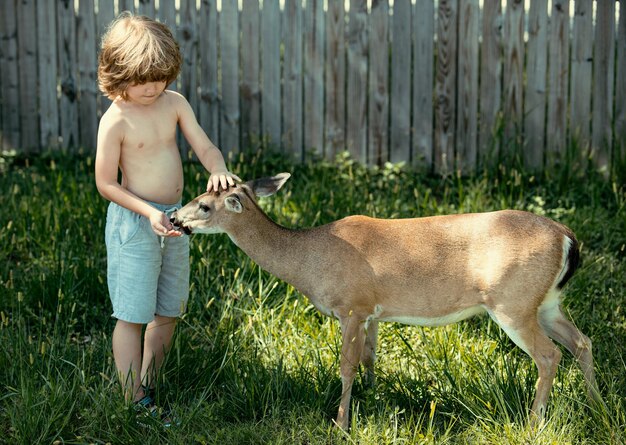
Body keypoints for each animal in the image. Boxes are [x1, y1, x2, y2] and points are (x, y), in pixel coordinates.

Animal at [169, 173, 600, 426]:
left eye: (203, 205)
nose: (174, 218)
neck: (310, 259)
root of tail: (567, 238)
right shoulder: (373, 311)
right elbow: (369, 358)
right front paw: (373, 398)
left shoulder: (351, 305)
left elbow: (346, 366)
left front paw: (341, 423)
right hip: (545, 302)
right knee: (582, 341)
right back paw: (596, 406)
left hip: (512, 302)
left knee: (549, 355)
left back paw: (534, 423)